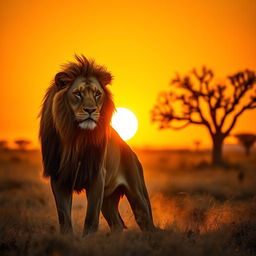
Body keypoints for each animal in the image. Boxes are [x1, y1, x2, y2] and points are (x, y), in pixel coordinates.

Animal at [39, 55, 156, 235]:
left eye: (97, 94)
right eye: (77, 94)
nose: (90, 110)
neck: (76, 138)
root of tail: (131, 151)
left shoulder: (96, 177)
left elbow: (91, 219)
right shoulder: (59, 178)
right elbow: (64, 218)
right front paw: (67, 238)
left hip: (137, 194)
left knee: (147, 223)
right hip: (108, 199)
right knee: (117, 224)